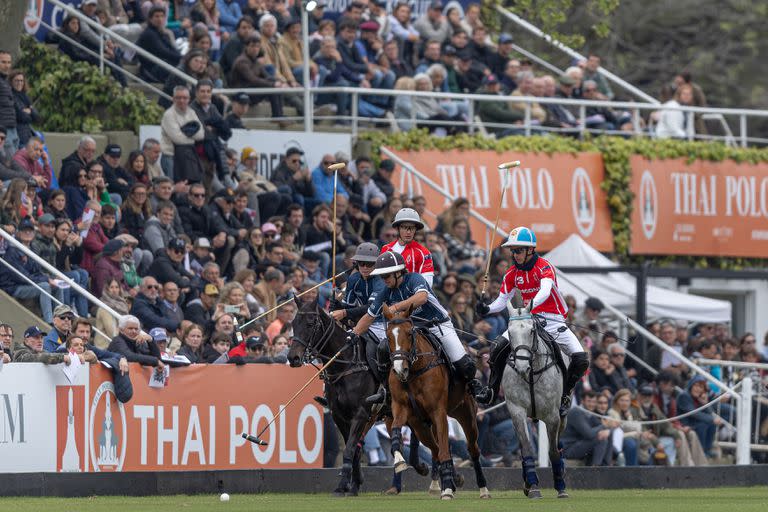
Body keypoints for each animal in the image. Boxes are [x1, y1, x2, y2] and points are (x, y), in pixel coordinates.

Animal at [380, 304, 488, 500]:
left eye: (409, 333)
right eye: (388, 335)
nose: (399, 369)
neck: (414, 371)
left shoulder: (438, 410)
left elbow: (445, 449)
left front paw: (448, 490)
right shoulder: (401, 408)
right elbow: (397, 432)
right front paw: (399, 461)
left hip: (466, 414)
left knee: (472, 449)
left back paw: (482, 489)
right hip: (422, 426)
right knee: (436, 448)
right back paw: (450, 481)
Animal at [500, 292, 568, 500]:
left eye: (531, 330)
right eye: (510, 332)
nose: (522, 367)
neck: (530, 375)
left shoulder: (552, 415)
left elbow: (553, 451)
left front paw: (561, 487)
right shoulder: (517, 411)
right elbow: (527, 448)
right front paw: (533, 486)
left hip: (562, 414)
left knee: (558, 443)